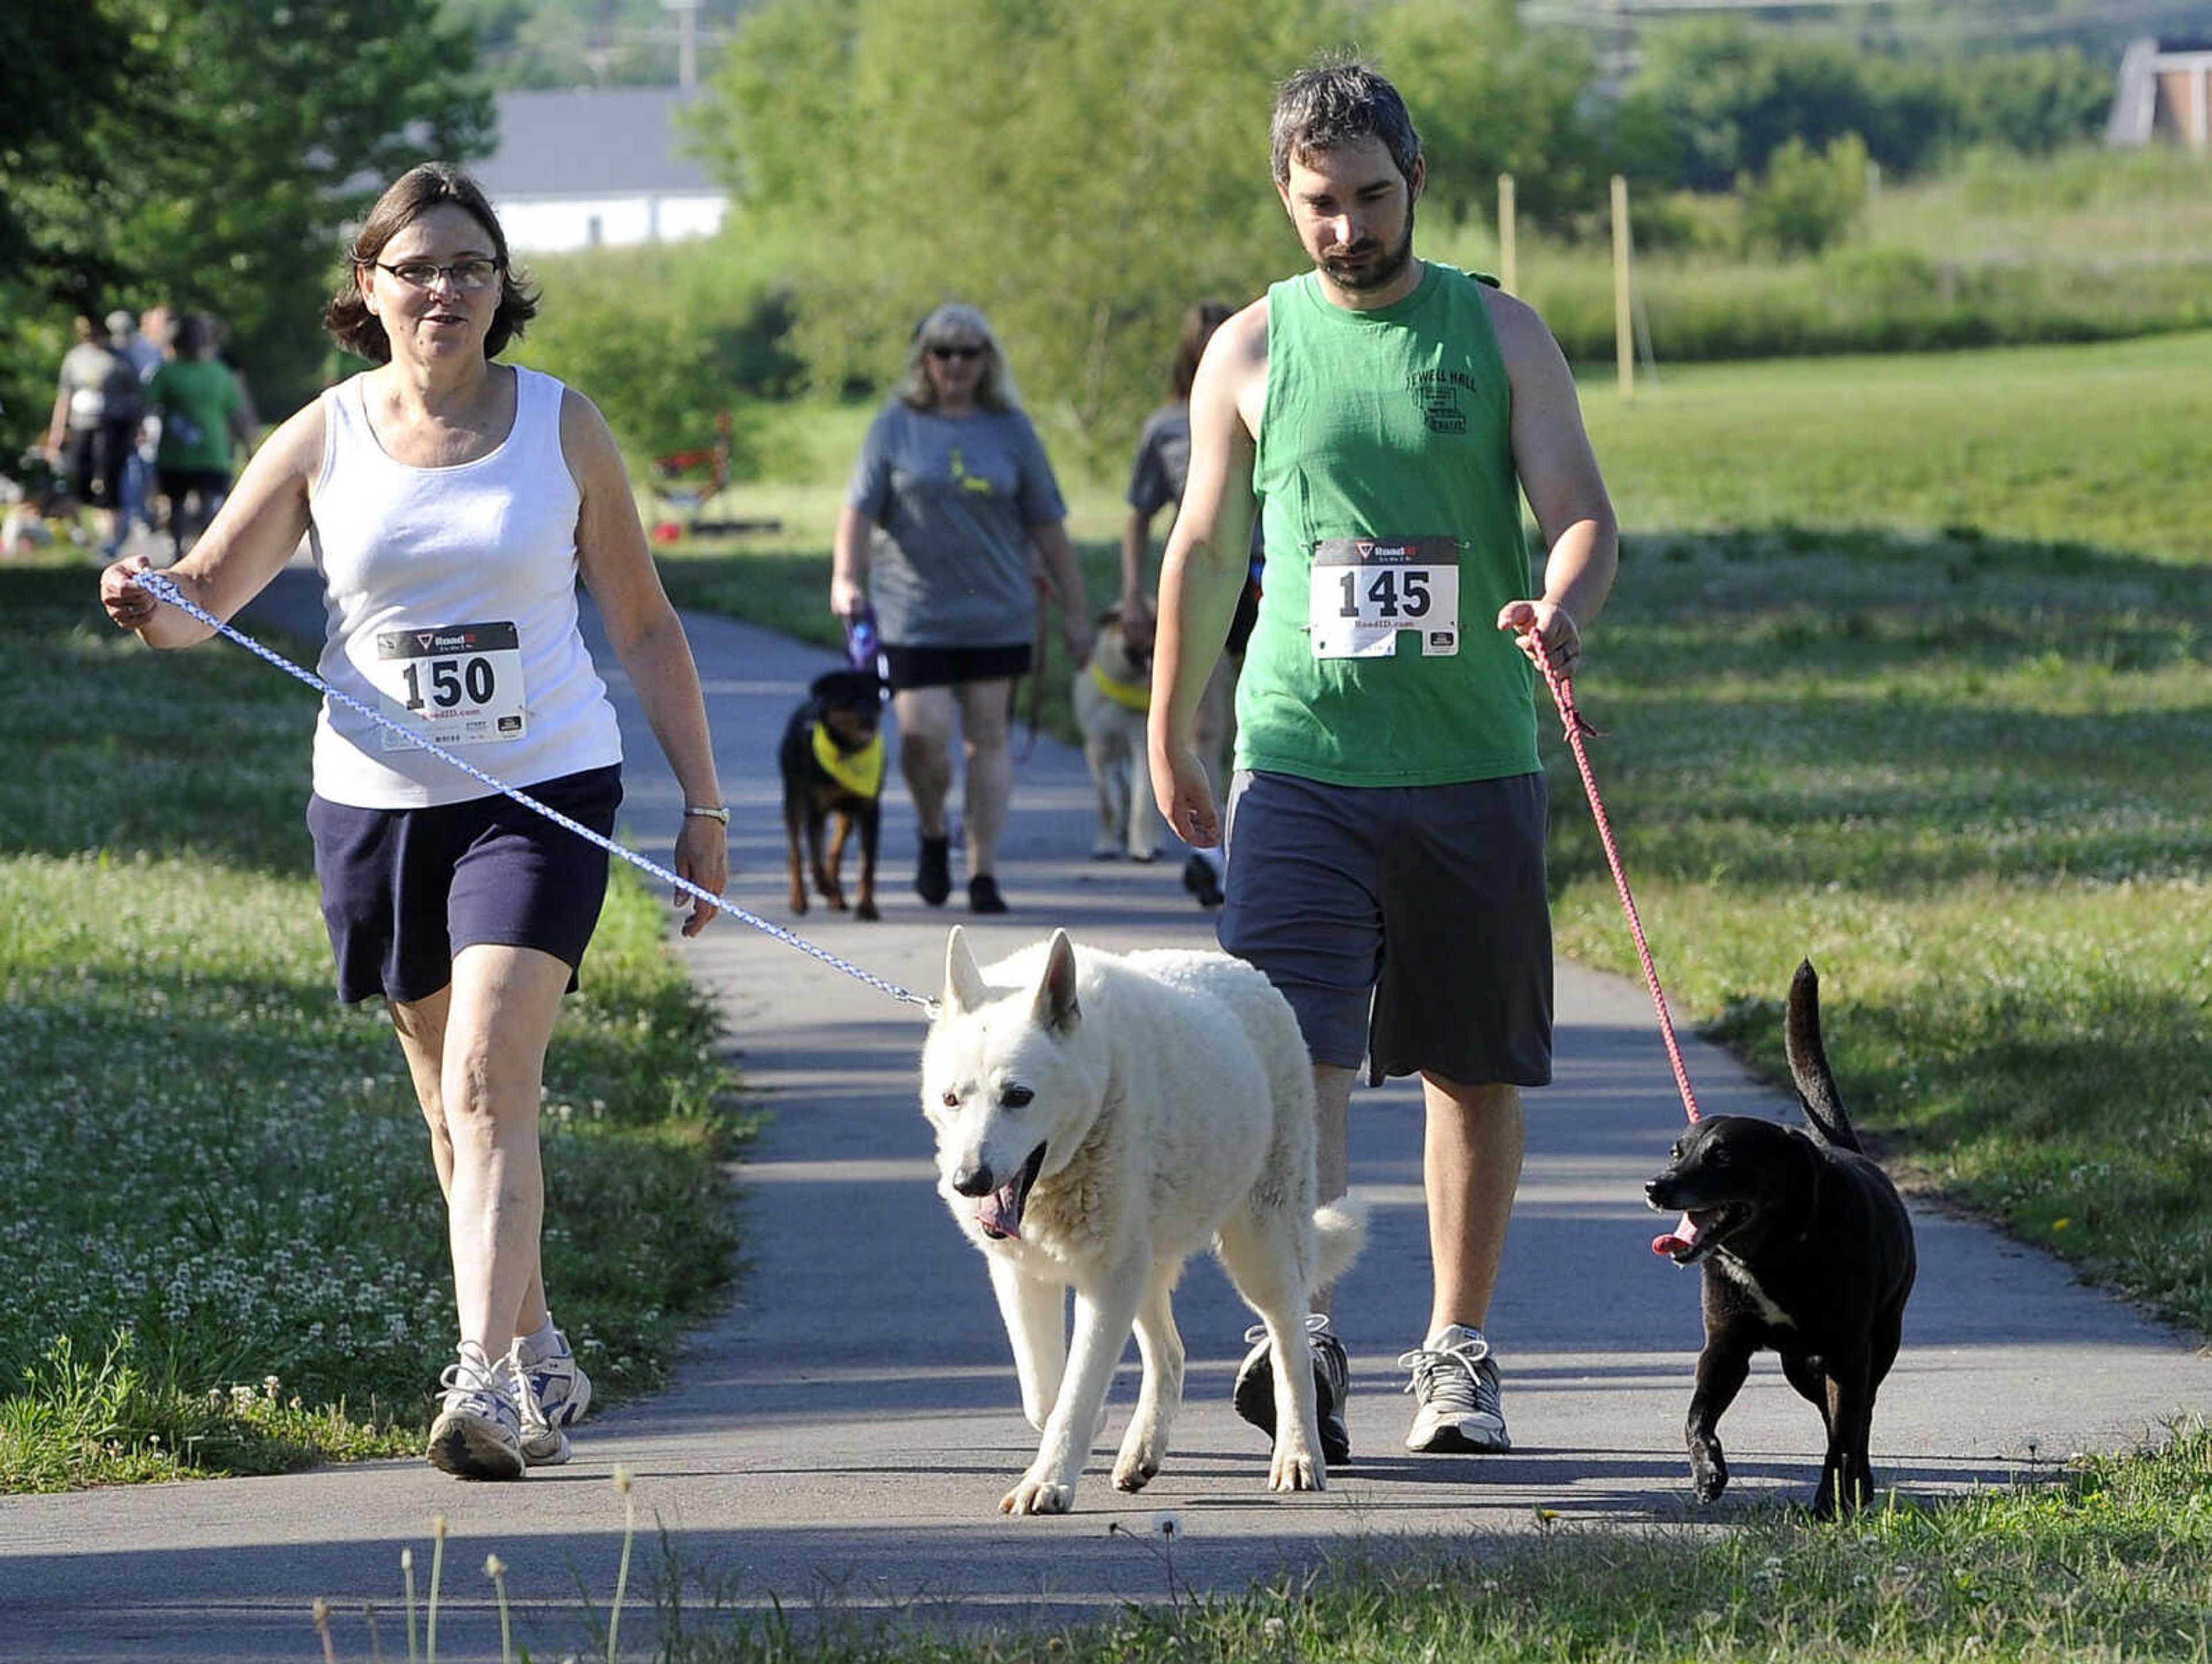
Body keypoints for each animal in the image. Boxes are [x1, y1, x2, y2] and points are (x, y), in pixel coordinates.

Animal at [778, 664, 880, 924]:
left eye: (873, 698)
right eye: (847, 699)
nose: (869, 719)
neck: (847, 751)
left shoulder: (870, 811)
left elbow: (868, 864)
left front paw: (867, 907)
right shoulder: (816, 810)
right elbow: (815, 859)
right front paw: (823, 887)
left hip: (847, 815)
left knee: (834, 854)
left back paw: (837, 897)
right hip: (794, 801)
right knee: (796, 853)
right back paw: (801, 899)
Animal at [915, 929, 1362, 1513]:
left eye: (1018, 1097)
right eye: (951, 1098)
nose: (970, 1180)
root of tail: (1248, 973)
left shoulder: (1108, 1280)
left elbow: (1077, 1391)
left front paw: (1048, 1482)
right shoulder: (1022, 1274)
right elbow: (1045, 1394)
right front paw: (1080, 1437)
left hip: (1260, 1250)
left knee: (1292, 1344)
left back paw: (1299, 1455)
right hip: (1147, 1264)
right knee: (1171, 1354)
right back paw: (1140, 1454)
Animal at [1645, 960, 1920, 1522]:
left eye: (1723, 1157)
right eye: (1677, 1150)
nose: (1656, 1186)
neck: (1771, 1253)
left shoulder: (1847, 1351)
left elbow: (1843, 1435)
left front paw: (1831, 1500)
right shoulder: (1726, 1345)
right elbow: (1697, 1414)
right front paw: (1708, 1472)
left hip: (1879, 1340)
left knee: (1859, 1418)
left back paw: (1857, 1486)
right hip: (1800, 1365)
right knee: (1836, 1413)